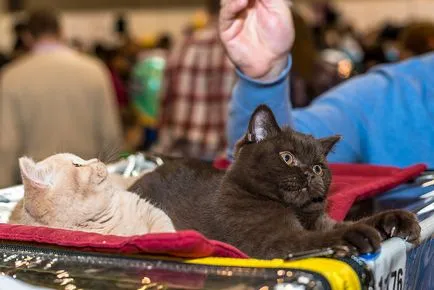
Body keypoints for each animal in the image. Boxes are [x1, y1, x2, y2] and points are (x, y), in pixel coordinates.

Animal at [131, 106, 420, 258]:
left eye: (319, 167)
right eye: (287, 157)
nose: (310, 174)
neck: (295, 211)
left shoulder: (321, 220)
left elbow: (356, 220)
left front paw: (396, 219)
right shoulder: (267, 243)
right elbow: (311, 240)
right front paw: (355, 236)